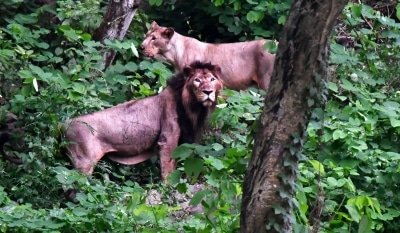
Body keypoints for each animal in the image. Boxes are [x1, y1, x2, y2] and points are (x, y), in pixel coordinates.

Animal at [64, 62, 223, 180]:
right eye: (197, 80)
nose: (208, 92)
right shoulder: (167, 140)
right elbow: (168, 170)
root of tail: (63, 125)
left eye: (212, 79)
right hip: (84, 163)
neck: (193, 108)